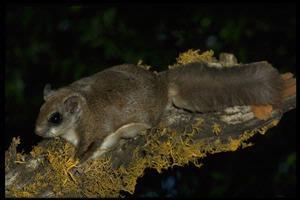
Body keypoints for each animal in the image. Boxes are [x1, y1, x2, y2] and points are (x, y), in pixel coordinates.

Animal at [34, 60, 296, 162]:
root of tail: (162, 84)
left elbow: (90, 147)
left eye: (55, 117)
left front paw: (75, 161)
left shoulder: (95, 129)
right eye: (40, 110)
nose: (36, 131)